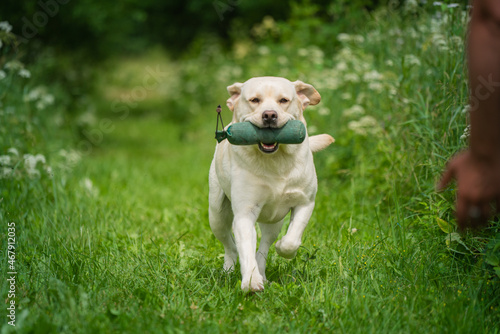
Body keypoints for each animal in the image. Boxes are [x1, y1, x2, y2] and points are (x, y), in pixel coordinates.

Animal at [209, 77, 334, 290]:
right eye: (254, 100)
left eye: (283, 100)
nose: (269, 115)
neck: (276, 160)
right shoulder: (244, 212)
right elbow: (245, 248)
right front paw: (251, 282)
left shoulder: (305, 202)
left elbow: (292, 240)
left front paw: (282, 248)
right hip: (217, 214)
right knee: (230, 244)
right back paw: (229, 269)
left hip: (274, 222)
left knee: (263, 248)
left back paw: (264, 273)